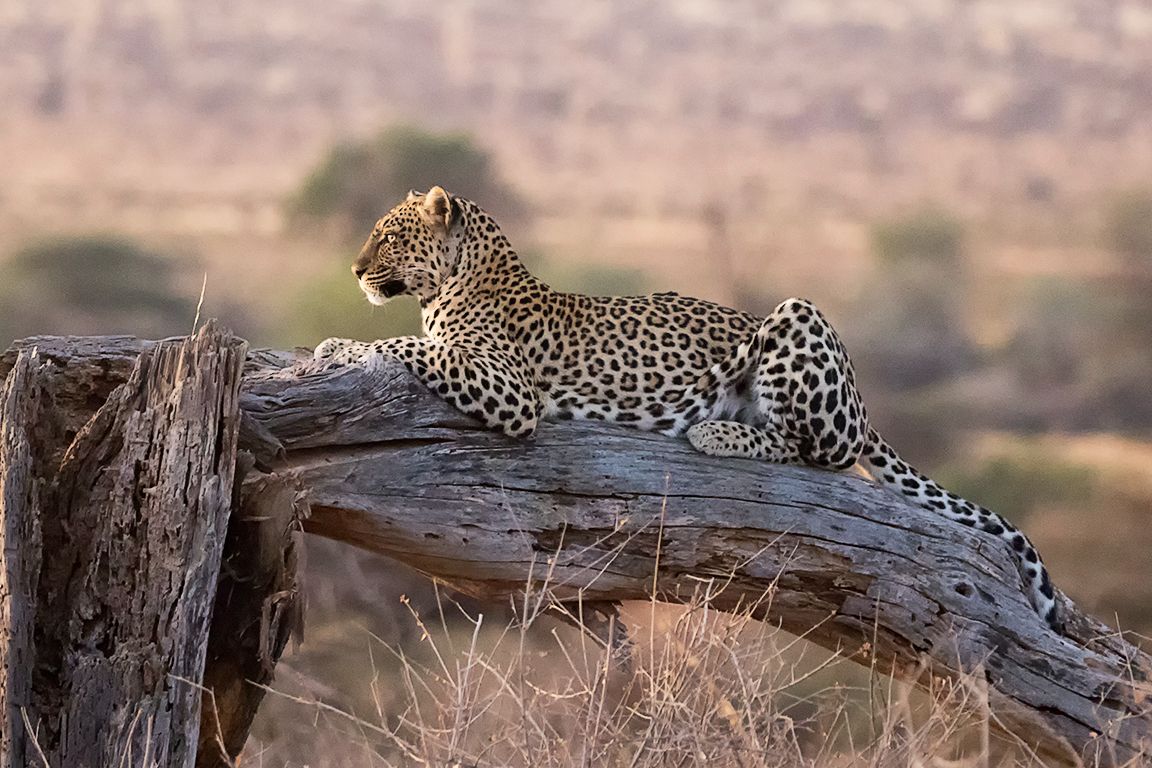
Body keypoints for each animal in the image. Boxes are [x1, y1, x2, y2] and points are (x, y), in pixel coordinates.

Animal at [314, 186, 1062, 632]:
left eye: (389, 237)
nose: (353, 269)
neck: (458, 282)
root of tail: (861, 403)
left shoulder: (509, 389)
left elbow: (406, 344)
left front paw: (339, 345)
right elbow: (411, 341)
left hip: (797, 317)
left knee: (819, 453)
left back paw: (715, 432)